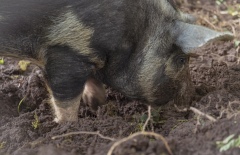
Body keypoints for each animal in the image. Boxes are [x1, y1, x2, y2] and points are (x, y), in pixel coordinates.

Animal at [0, 0, 233, 123]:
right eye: (182, 59)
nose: (191, 100)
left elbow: (93, 81)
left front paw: (97, 105)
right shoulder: (66, 48)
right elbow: (66, 99)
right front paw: (68, 126)